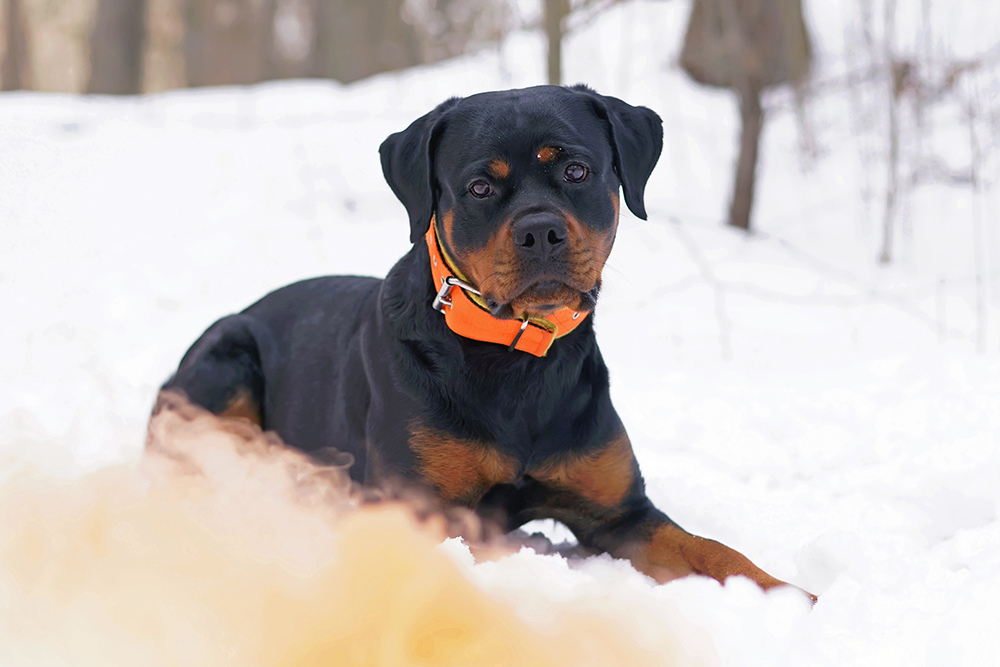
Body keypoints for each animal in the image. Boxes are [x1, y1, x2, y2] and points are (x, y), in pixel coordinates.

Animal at [160, 85, 808, 600]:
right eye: (478, 186)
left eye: (576, 171)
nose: (540, 230)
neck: (516, 358)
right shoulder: (416, 509)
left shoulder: (620, 513)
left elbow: (712, 550)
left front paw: (793, 596)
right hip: (226, 359)